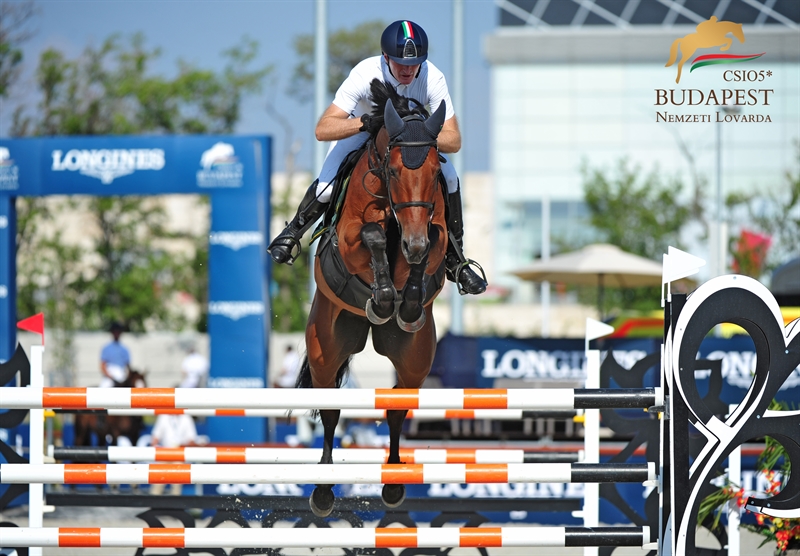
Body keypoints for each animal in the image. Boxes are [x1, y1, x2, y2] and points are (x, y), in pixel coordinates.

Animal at [298, 78, 450, 516]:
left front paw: (408, 300)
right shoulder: (350, 239)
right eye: (395, 169)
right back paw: (323, 490)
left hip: (414, 358)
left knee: (398, 406)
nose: (412, 243)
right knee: (330, 409)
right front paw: (383, 298)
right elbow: (373, 234)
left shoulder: (432, 232)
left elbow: (432, 240)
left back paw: (394, 482)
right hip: (326, 348)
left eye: (436, 172)